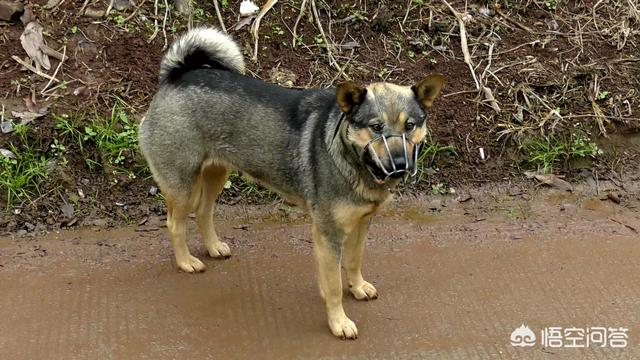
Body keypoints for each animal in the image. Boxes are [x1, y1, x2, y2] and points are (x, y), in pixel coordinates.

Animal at [138, 26, 442, 338]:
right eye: (376, 127)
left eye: (410, 126)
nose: (400, 164)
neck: (349, 156)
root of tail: (175, 76)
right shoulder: (328, 235)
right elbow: (333, 286)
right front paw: (338, 321)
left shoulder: (361, 223)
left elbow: (354, 261)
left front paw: (357, 287)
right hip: (183, 186)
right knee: (175, 224)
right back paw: (185, 261)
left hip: (216, 174)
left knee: (203, 212)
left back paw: (213, 247)